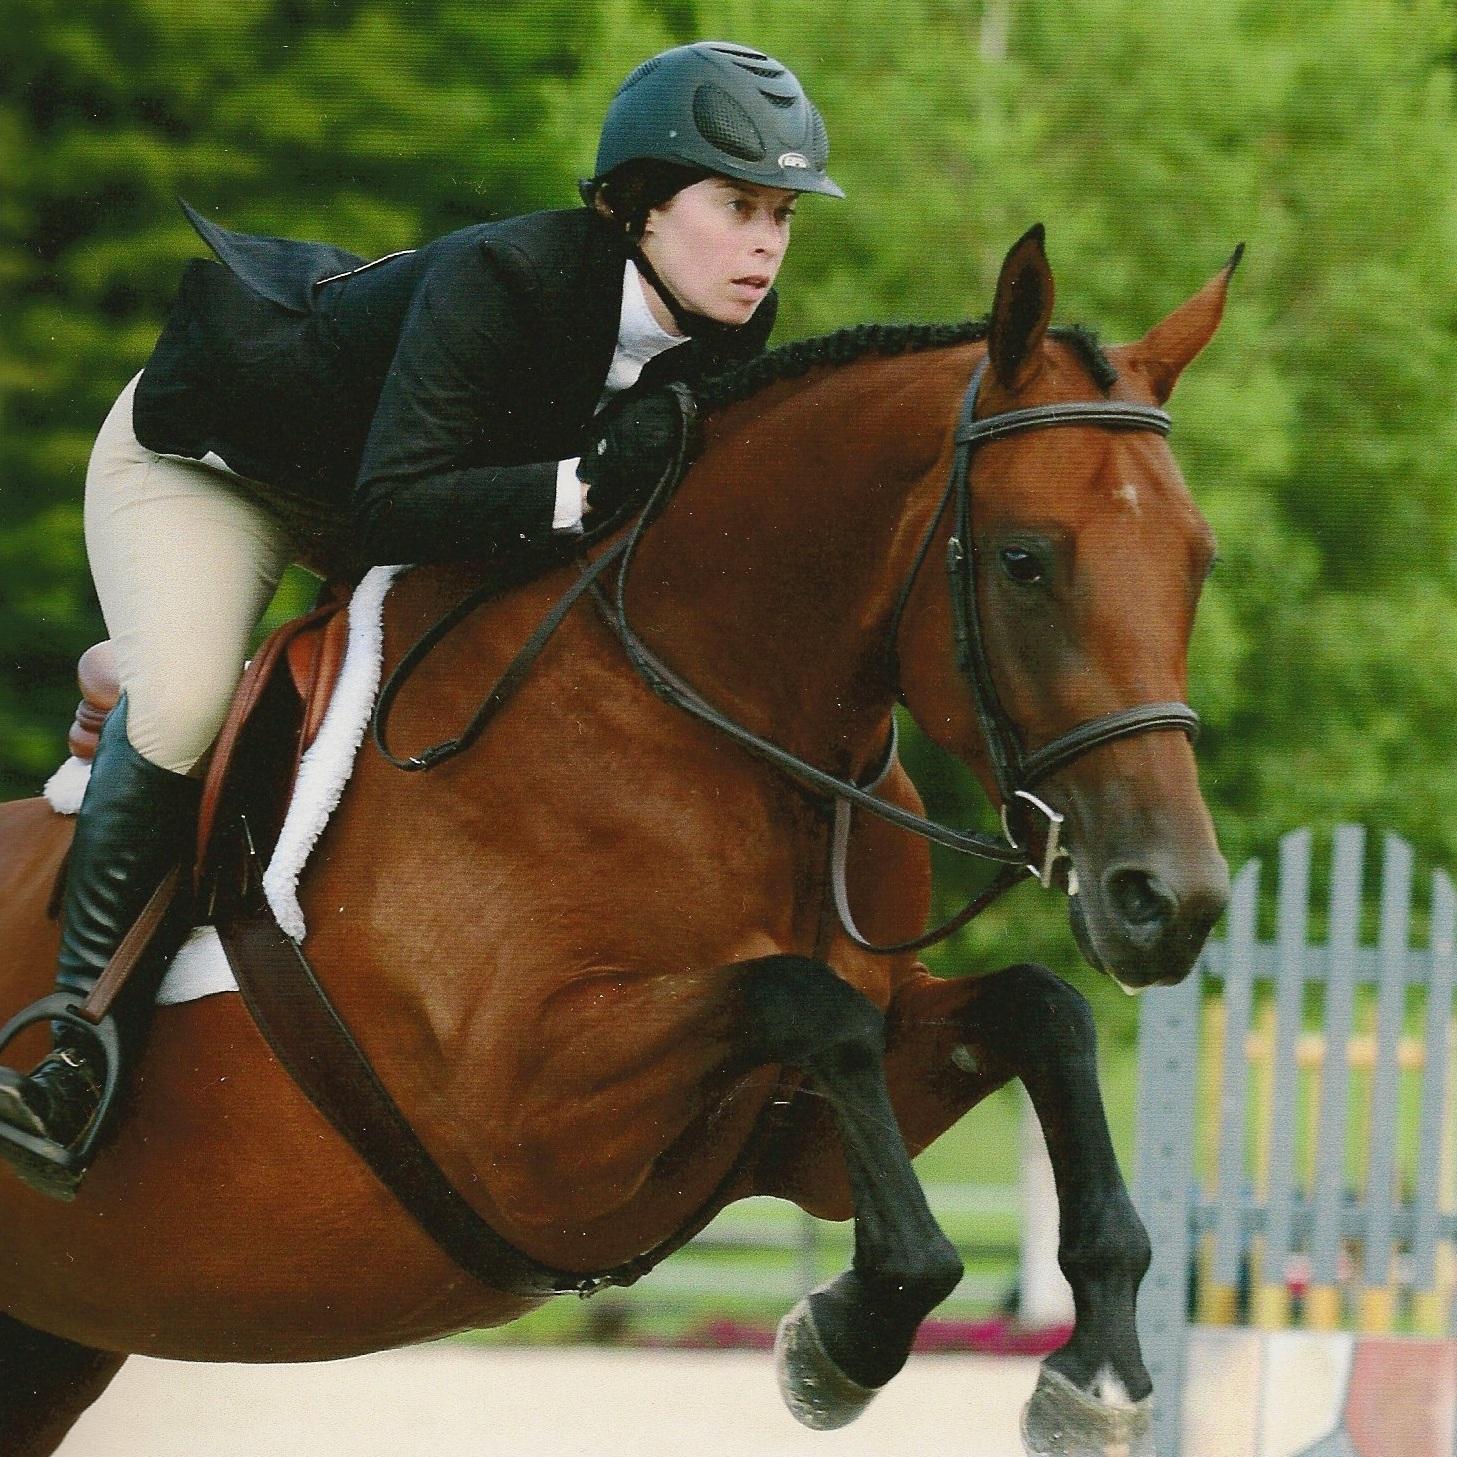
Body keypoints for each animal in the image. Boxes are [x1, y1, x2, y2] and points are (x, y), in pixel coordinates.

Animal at [0, 225, 1233, 1457]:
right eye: (1024, 560)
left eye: (1198, 560)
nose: (1169, 903)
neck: (707, 716)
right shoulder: (525, 1126)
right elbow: (806, 1000)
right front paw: (846, 1335)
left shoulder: (803, 1138)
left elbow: (1041, 1008)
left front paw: (1094, 1370)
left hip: (53, 1338)